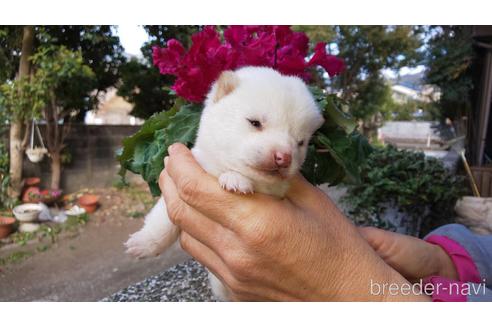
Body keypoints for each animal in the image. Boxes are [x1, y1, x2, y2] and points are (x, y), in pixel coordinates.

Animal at [127, 66, 324, 300]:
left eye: (300, 142)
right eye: (255, 122)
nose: (284, 157)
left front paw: (235, 179)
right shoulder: (179, 184)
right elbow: (162, 221)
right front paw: (144, 243)